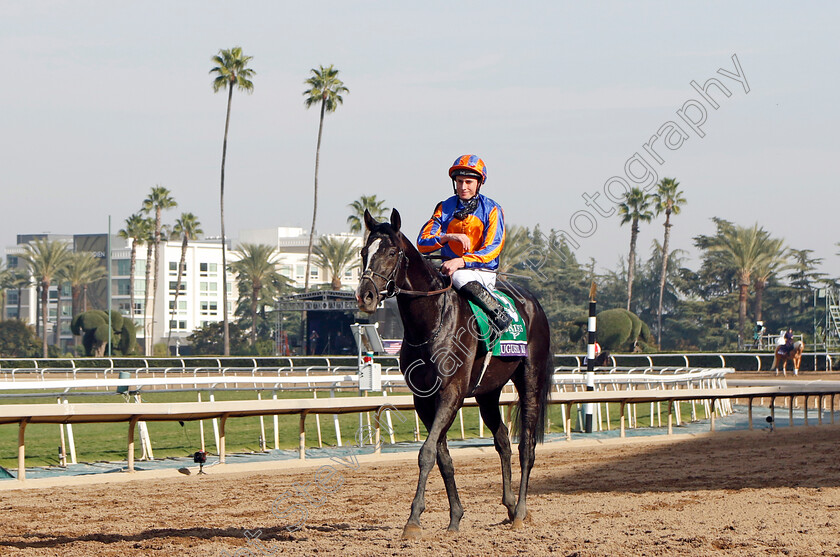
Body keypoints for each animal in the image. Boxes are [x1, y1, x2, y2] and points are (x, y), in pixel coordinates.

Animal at [352, 210, 552, 540]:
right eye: (363, 252)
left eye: (391, 252)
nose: (365, 296)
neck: (432, 322)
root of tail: (532, 303)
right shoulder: (424, 399)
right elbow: (442, 457)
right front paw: (455, 518)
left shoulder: (451, 394)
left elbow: (426, 452)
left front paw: (413, 520)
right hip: (487, 393)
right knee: (502, 440)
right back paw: (510, 506)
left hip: (530, 379)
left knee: (527, 447)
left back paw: (521, 512)